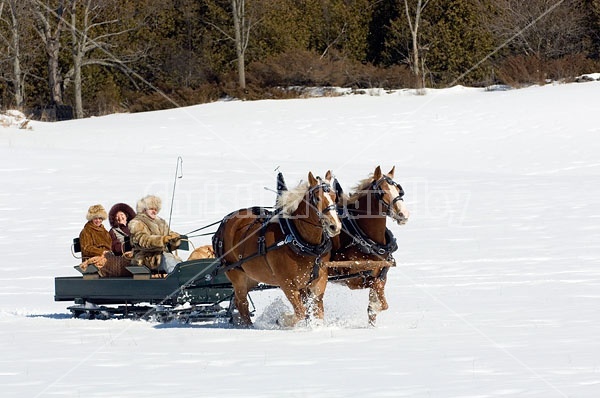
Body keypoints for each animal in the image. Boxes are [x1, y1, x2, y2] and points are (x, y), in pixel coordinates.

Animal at [213, 171, 340, 326]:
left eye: (335, 196)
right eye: (317, 198)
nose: (334, 226)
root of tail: (225, 222)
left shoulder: (318, 280)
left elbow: (317, 312)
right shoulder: (287, 283)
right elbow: (300, 312)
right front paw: (283, 319)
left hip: (251, 277)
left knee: (238, 301)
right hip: (236, 274)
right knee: (242, 303)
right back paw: (249, 326)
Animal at [330, 166, 410, 324]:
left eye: (399, 190)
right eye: (382, 192)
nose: (404, 214)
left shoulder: (381, 275)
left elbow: (381, 301)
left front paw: (373, 312)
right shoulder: (352, 279)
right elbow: (377, 290)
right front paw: (374, 307)